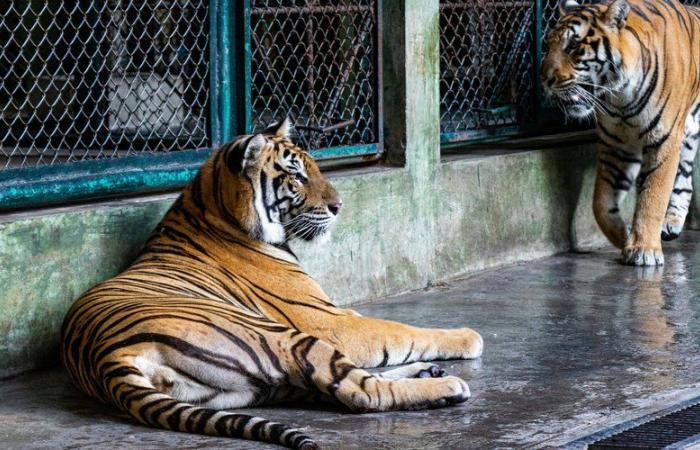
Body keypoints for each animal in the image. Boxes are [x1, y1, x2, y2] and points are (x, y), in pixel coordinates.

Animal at [61, 119, 482, 450]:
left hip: (242, 387)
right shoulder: (327, 322)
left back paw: (427, 373)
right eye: (296, 175)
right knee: (362, 392)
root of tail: (107, 357)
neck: (216, 210)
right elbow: (401, 330)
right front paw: (467, 336)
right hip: (283, 339)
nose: (339, 206)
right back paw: (446, 386)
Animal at [544, 0, 696, 266]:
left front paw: (645, 249)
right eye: (548, 45)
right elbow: (600, 203)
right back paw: (671, 223)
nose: (544, 79)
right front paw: (625, 237)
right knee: (685, 177)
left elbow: (652, 196)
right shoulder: (617, 144)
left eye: (573, 46)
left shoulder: (664, 140)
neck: (619, 96)